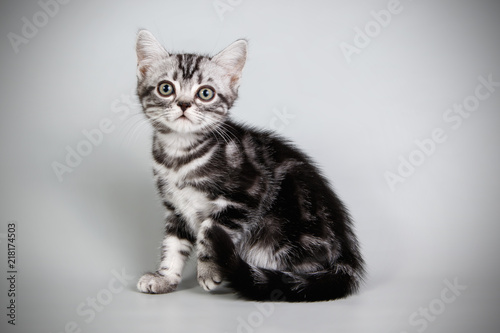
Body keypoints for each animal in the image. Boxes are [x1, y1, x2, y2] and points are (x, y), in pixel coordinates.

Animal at [135, 31, 366, 300]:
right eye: (166, 88)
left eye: (205, 93)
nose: (183, 104)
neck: (180, 155)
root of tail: (347, 256)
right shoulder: (175, 207)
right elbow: (173, 244)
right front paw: (165, 278)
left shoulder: (248, 193)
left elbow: (208, 230)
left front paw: (208, 270)